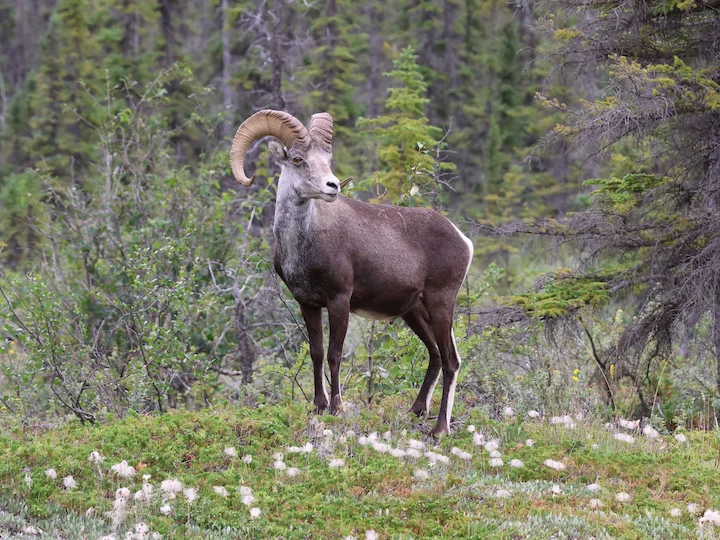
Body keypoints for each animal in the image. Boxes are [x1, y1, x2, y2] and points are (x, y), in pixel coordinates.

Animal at [229, 110, 473, 436]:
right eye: (298, 159)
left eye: (327, 158)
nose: (332, 186)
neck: (303, 243)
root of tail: (463, 240)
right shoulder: (308, 304)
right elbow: (317, 353)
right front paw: (318, 407)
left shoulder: (339, 301)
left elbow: (335, 354)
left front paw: (337, 408)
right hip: (414, 311)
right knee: (435, 355)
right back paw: (415, 412)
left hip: (440, 303)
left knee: (450, 360)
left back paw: (439, 430)